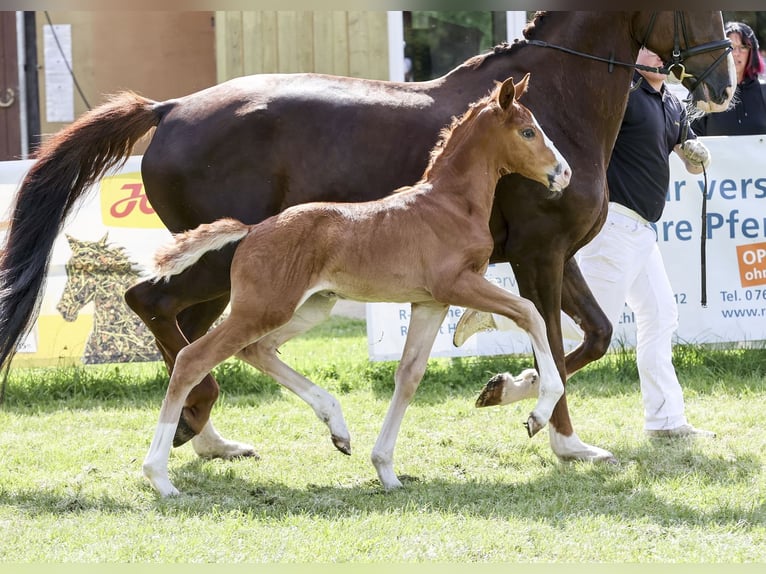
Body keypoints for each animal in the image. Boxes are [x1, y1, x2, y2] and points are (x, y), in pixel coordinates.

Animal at [142, 74, 568, 498]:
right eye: (528, 131)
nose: (563, 173)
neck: (449, 205)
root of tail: (251, 230)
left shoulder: (430, 302)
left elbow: (409, 376)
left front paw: (386, 470)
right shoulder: (457, 284)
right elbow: (531, 313)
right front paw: (537, 413)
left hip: (310, 307)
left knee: (256, 349)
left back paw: (338, 429)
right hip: (263, 309)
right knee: (193, 359)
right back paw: (159, 476)